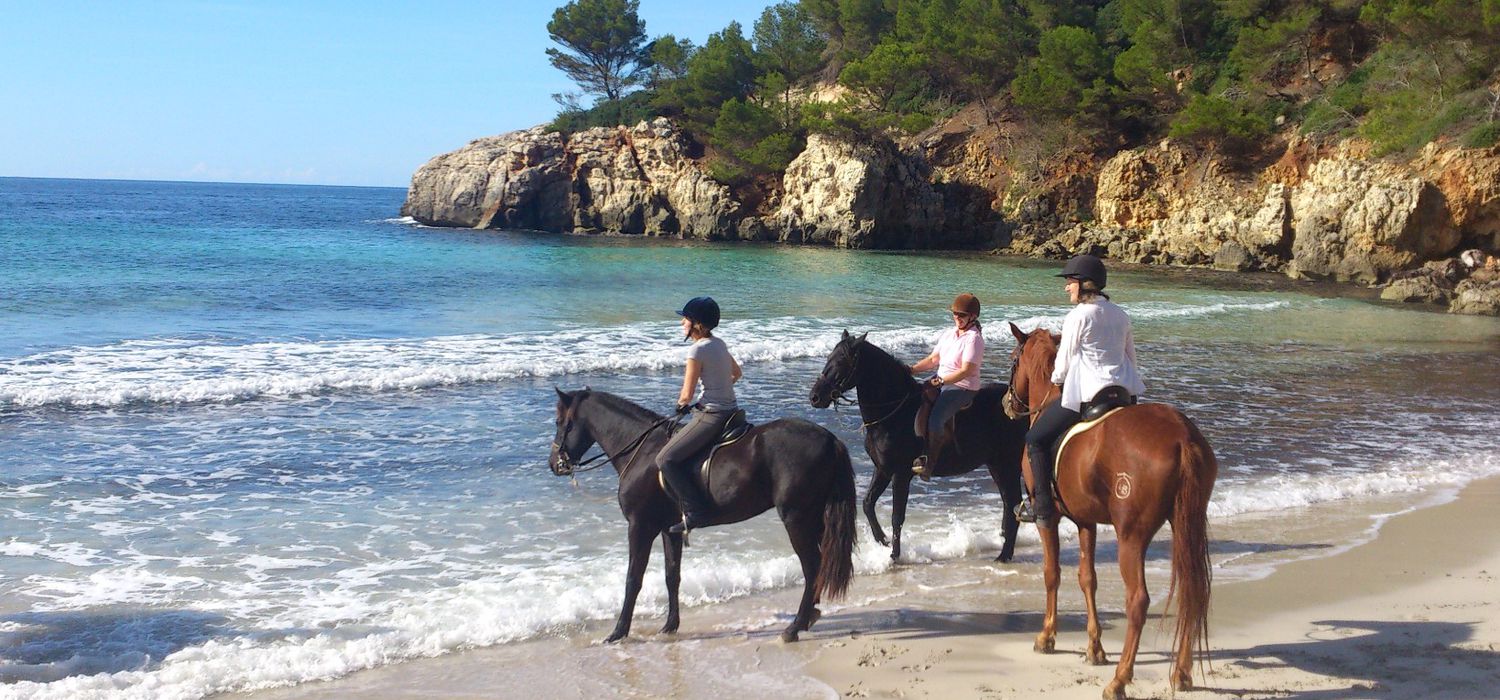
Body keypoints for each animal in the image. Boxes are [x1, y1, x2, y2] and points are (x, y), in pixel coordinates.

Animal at [549, 392, 858, 644]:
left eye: (559, 421)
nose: (554, 464)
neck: (641, 450)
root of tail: (830, 439)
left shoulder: (640, 527)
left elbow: (633, 579)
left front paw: (618, 632)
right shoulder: (669, 529)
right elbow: (672, 576)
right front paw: (670, 626)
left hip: (796, 517)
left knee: (812, 565)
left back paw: (795, 626)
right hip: (814, 516)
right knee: (820, 564)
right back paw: (810, 615)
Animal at [810, 329, 1032, 563]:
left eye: (841, 361)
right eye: (829, 357)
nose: (815, 397)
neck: (895, 413)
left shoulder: (900, 474)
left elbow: (897, 516)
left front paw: (894, 556)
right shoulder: (883, 469)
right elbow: (868, 504)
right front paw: (882, 540)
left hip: (1007, 464)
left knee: (1013, 502)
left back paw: (1004, 554)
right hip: (995, 465)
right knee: (1008, 503)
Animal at [1002, 325, 1212, 700]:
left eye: (1014, 359)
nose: (1007, 403)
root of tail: (1183, 438)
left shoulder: (1049, 519)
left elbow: (1052, 573)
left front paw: (1047, 636)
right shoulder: (1086, 520)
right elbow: (1088, 578)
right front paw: (1094, 648)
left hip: (1132, 536)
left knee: (1138, 601)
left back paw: (1120, 679)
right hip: (1187, 524)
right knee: (1193, 590)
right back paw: (1182, 673)